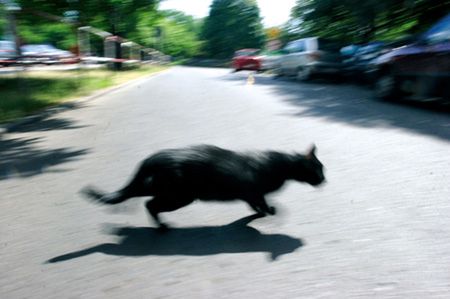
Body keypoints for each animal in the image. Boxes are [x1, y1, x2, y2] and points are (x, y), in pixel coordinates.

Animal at [82, 145, 326, 230]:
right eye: (319, 169)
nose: (324, 180)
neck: (281, 164)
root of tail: (152, 159)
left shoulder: (249, 194)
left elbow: (256, 205)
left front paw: (260, 213)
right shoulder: (253, 191)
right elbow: (265, 204)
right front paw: (271, 212)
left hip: (168, 192)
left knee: (140, 199)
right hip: (180, 196)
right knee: (149, 204)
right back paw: (162, 227)